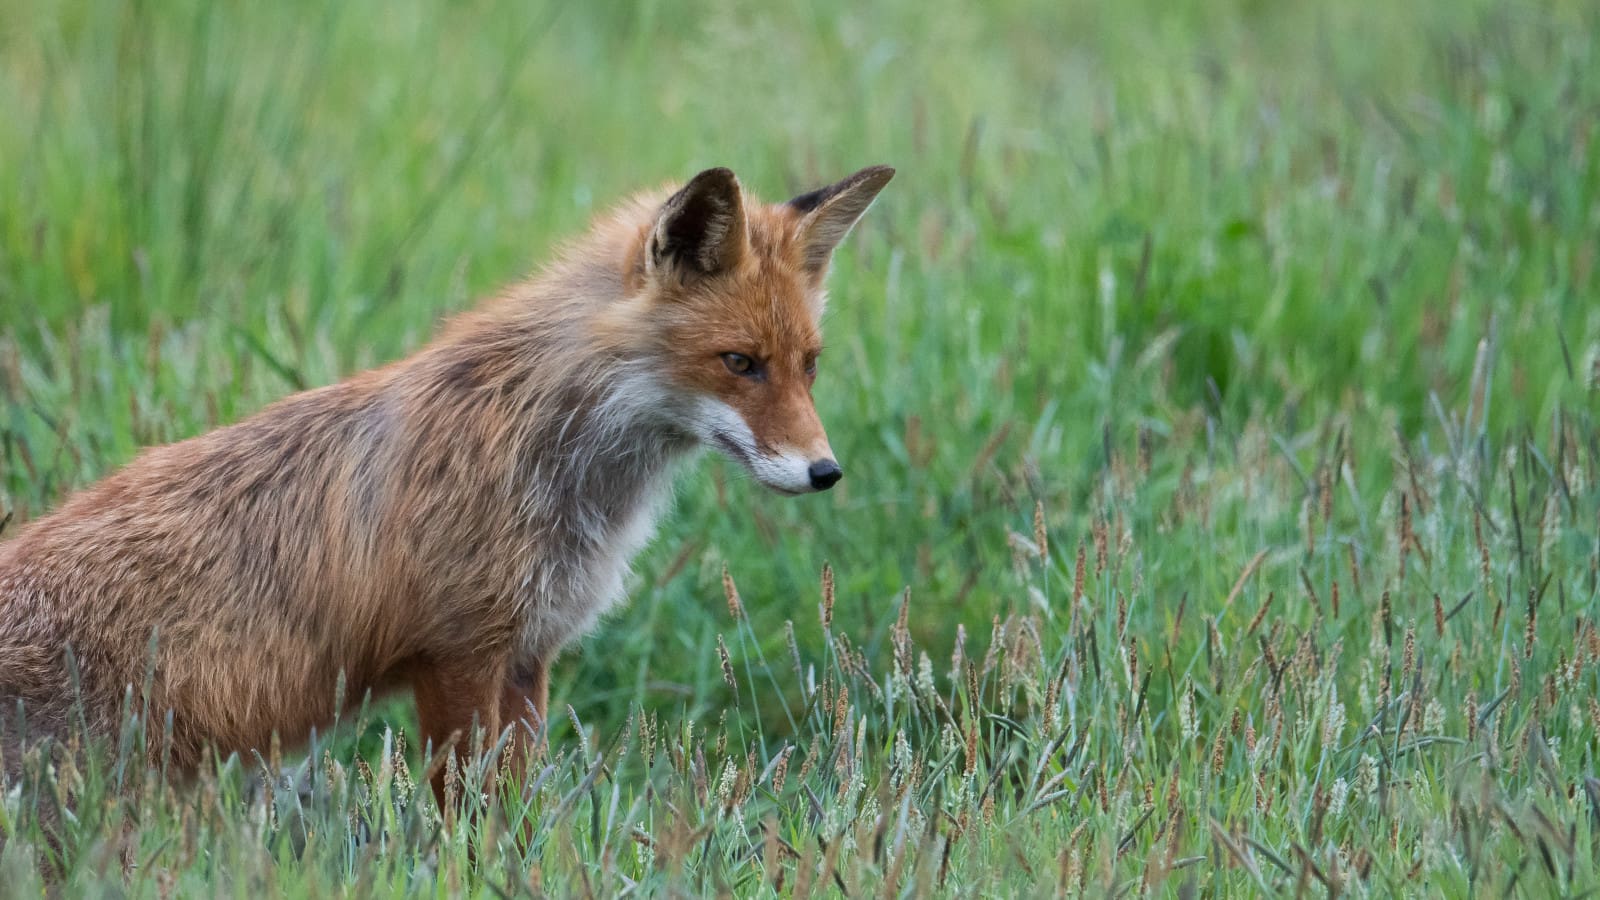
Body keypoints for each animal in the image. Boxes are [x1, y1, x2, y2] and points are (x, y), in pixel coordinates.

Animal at [0, 164, 896, 794]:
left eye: (809, 366)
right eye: (739, 363)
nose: (825, 471)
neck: (555, 456)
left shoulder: (528, 655)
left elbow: (521, 806)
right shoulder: (456, 652)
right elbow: (468, 812)